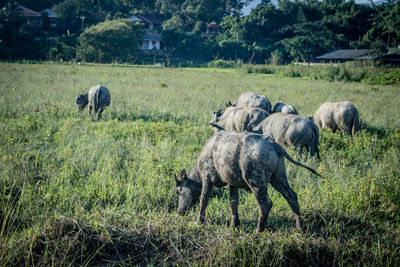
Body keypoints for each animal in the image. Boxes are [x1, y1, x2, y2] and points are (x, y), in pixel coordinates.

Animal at [173, 130, 320, 232]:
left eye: (178, 191)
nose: (180, 211)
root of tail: (272, 143)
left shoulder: (207, 179)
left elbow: (203, 200)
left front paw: (199, 221)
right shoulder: (232, 183)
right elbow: (233, 202)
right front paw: (234, 224)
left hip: (256, 183)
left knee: (265, 204)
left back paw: (258, 230)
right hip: (278, 178)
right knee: (291, 196)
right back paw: (300, 227)